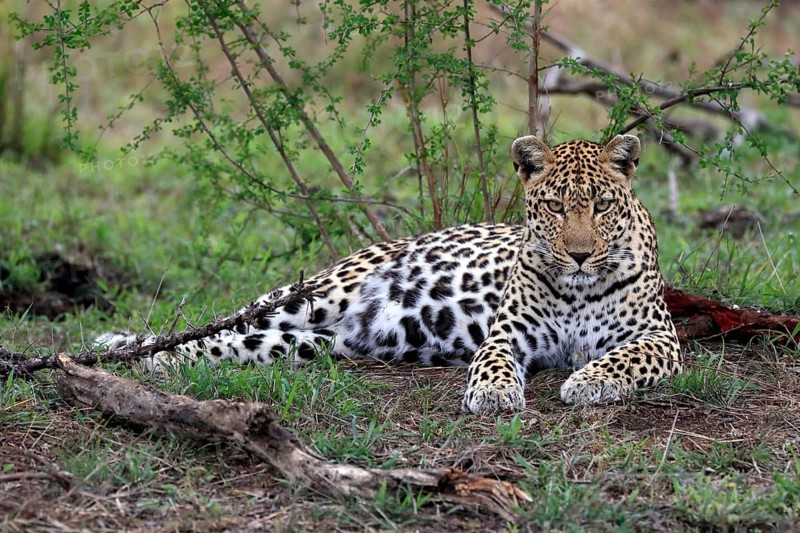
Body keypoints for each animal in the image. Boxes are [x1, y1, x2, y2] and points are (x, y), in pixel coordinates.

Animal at [97, 134, 683, 415]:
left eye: (602, 205)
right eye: (557, 207)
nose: (580, 255)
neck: (577, 289)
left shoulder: (660, 338)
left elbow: (622, 359)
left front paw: (587, 381)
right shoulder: (506, 334)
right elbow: (492, 364)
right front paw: (494, 395)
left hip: (307, 343)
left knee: (223, 343)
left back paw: (140, 357)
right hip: (311, 296)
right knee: (224, 321)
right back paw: (117, 347)